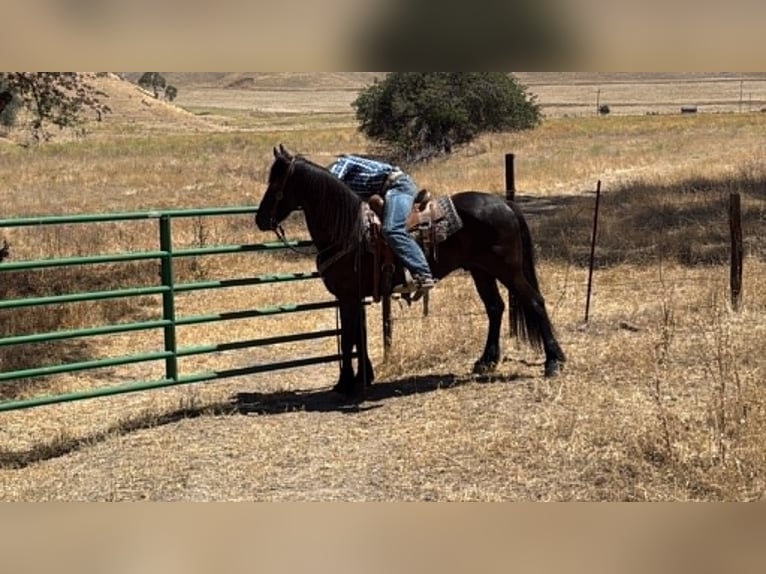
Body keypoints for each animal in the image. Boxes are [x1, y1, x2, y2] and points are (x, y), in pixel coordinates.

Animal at [255, 145, 565, 399]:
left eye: (276, 183)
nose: (260, 219)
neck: (349, 231)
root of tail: (506, 204)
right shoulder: (354, 297)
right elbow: (357, 335)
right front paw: (363, 377)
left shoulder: (348, 295)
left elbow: (350, 337)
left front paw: (346, 384)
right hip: (482, 271)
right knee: (495, 307)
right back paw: (485, 361)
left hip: (507, 269)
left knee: (534, 302)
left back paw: (554, 362)